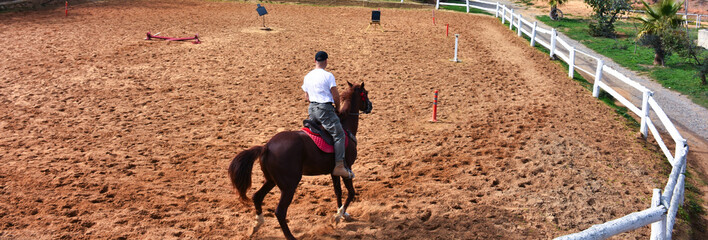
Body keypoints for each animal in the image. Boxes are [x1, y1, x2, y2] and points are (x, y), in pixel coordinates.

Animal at [230, 81, 374, 239]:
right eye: (366, 93)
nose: (370, 106)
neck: (345, 126)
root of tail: (266, 146)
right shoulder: (347, 169)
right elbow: (351, 192)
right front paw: (338, 216)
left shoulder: (334, 172)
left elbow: (338, 192)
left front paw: (342, 213)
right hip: (289, 185)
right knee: (280, 211)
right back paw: (289, 236)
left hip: (271, 180)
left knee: (257, 197)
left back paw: (256, 225)